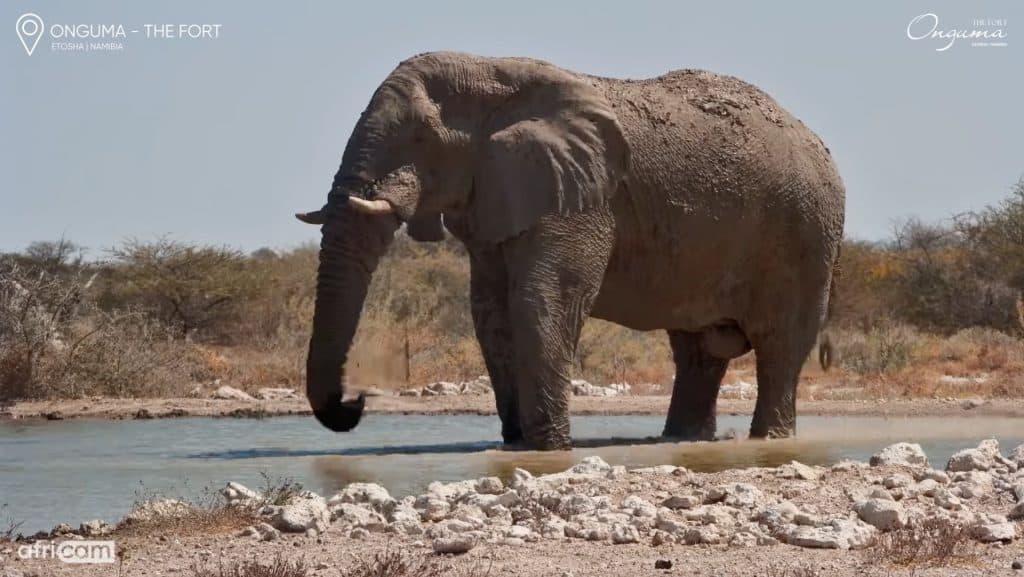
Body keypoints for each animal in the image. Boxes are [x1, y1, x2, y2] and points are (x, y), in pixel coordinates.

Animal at [296, 51, 845, 450]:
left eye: (418, 136)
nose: (356, 402)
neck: (492, 71)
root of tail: (816, 139)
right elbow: (490, 311)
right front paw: (518, 445)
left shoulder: (581, 196)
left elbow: (544, 298)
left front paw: (549, 450)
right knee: (696, 351)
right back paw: (680, 440)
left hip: (806, 232)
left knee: (780, 343)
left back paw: (767, 440)